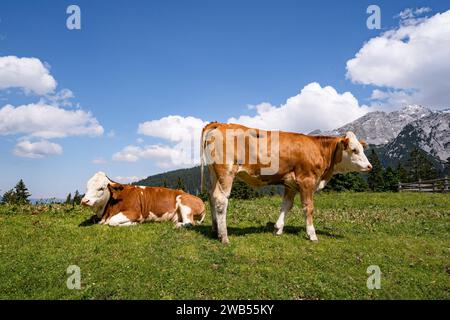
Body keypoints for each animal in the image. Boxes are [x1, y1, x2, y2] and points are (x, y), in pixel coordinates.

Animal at [201, 122, 372, 242]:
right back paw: (224, 237)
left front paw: (278, 228)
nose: (370, 166)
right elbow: (308, 208)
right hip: (226, 172)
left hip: (213, 174)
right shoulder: (307, 180)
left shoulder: (291, 184)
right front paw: (312, 234)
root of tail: (221, 124)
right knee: (221, 199)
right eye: (354, 150)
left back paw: (215, 230)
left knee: (211, 195)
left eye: (362, 149)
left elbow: (286, 205)